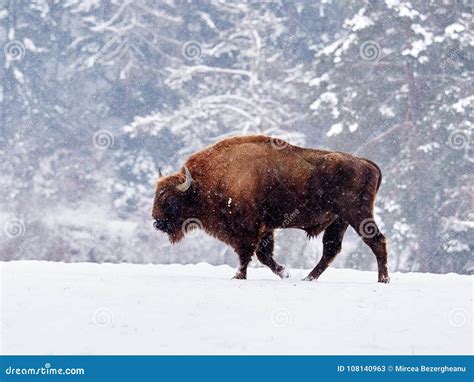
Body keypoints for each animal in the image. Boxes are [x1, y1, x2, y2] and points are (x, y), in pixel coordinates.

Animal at [152, 136, 388, 282]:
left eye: (170, 200)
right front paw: (285, 273)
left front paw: (238, 276)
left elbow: (247, 254)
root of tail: (366, 163)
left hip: (356, 214)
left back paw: (383, 280)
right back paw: (307, 278)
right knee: (331, 249)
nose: (156, 222)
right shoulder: (265, 229)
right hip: (340, 220)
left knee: (376, 241)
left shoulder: (248, 229)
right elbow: (263, 255)